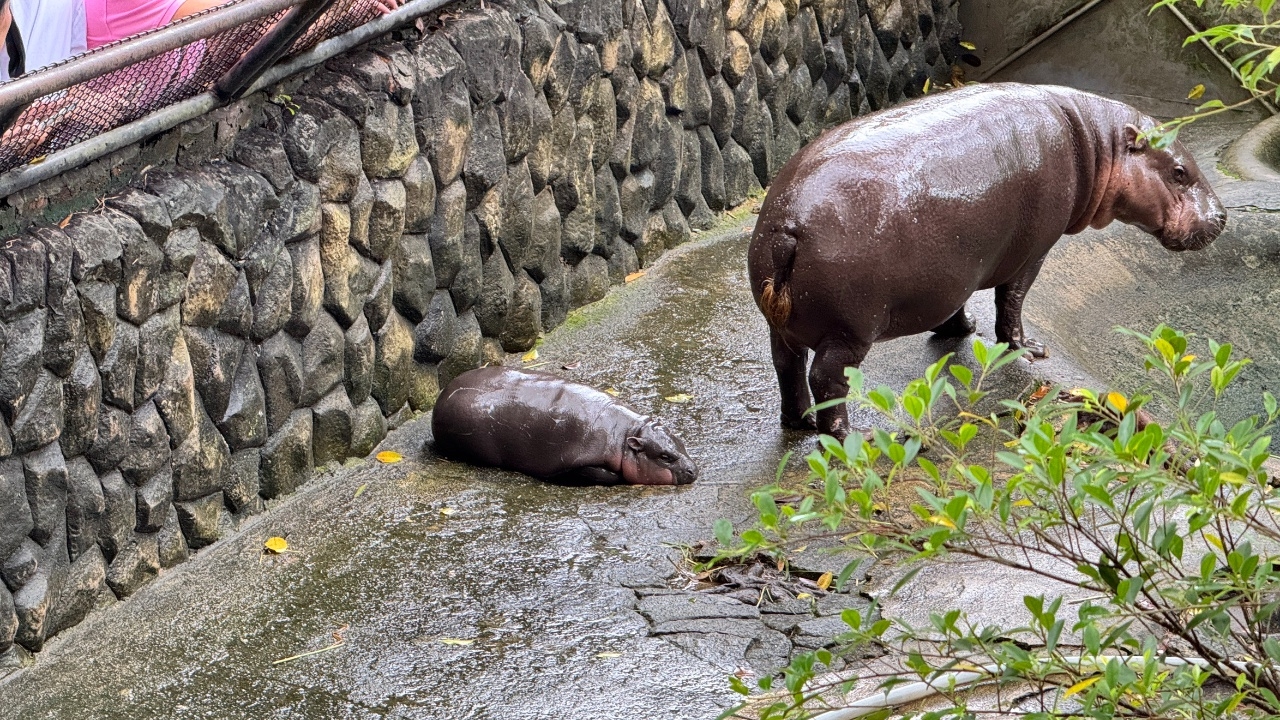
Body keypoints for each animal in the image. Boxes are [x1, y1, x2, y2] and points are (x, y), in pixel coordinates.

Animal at [435, 366, 706, 484]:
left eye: (680, 442)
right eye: (664, 456)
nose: (693, 469)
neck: (627, 435)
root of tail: (444, 392)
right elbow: (604, 474)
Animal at [747, 80, 1228, 435]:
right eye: (1179, 172)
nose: (1222, 216)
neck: (1096, 141)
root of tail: (788, 224)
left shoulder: (956, 267)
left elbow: (956, 304)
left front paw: (962, 329)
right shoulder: (1032, 253)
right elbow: (1011, 301)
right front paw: (1028, 350)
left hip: (782, 324)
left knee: (786, 367)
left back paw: (799, 423)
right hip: (849, 332)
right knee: (826, 379)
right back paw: (852, 436)